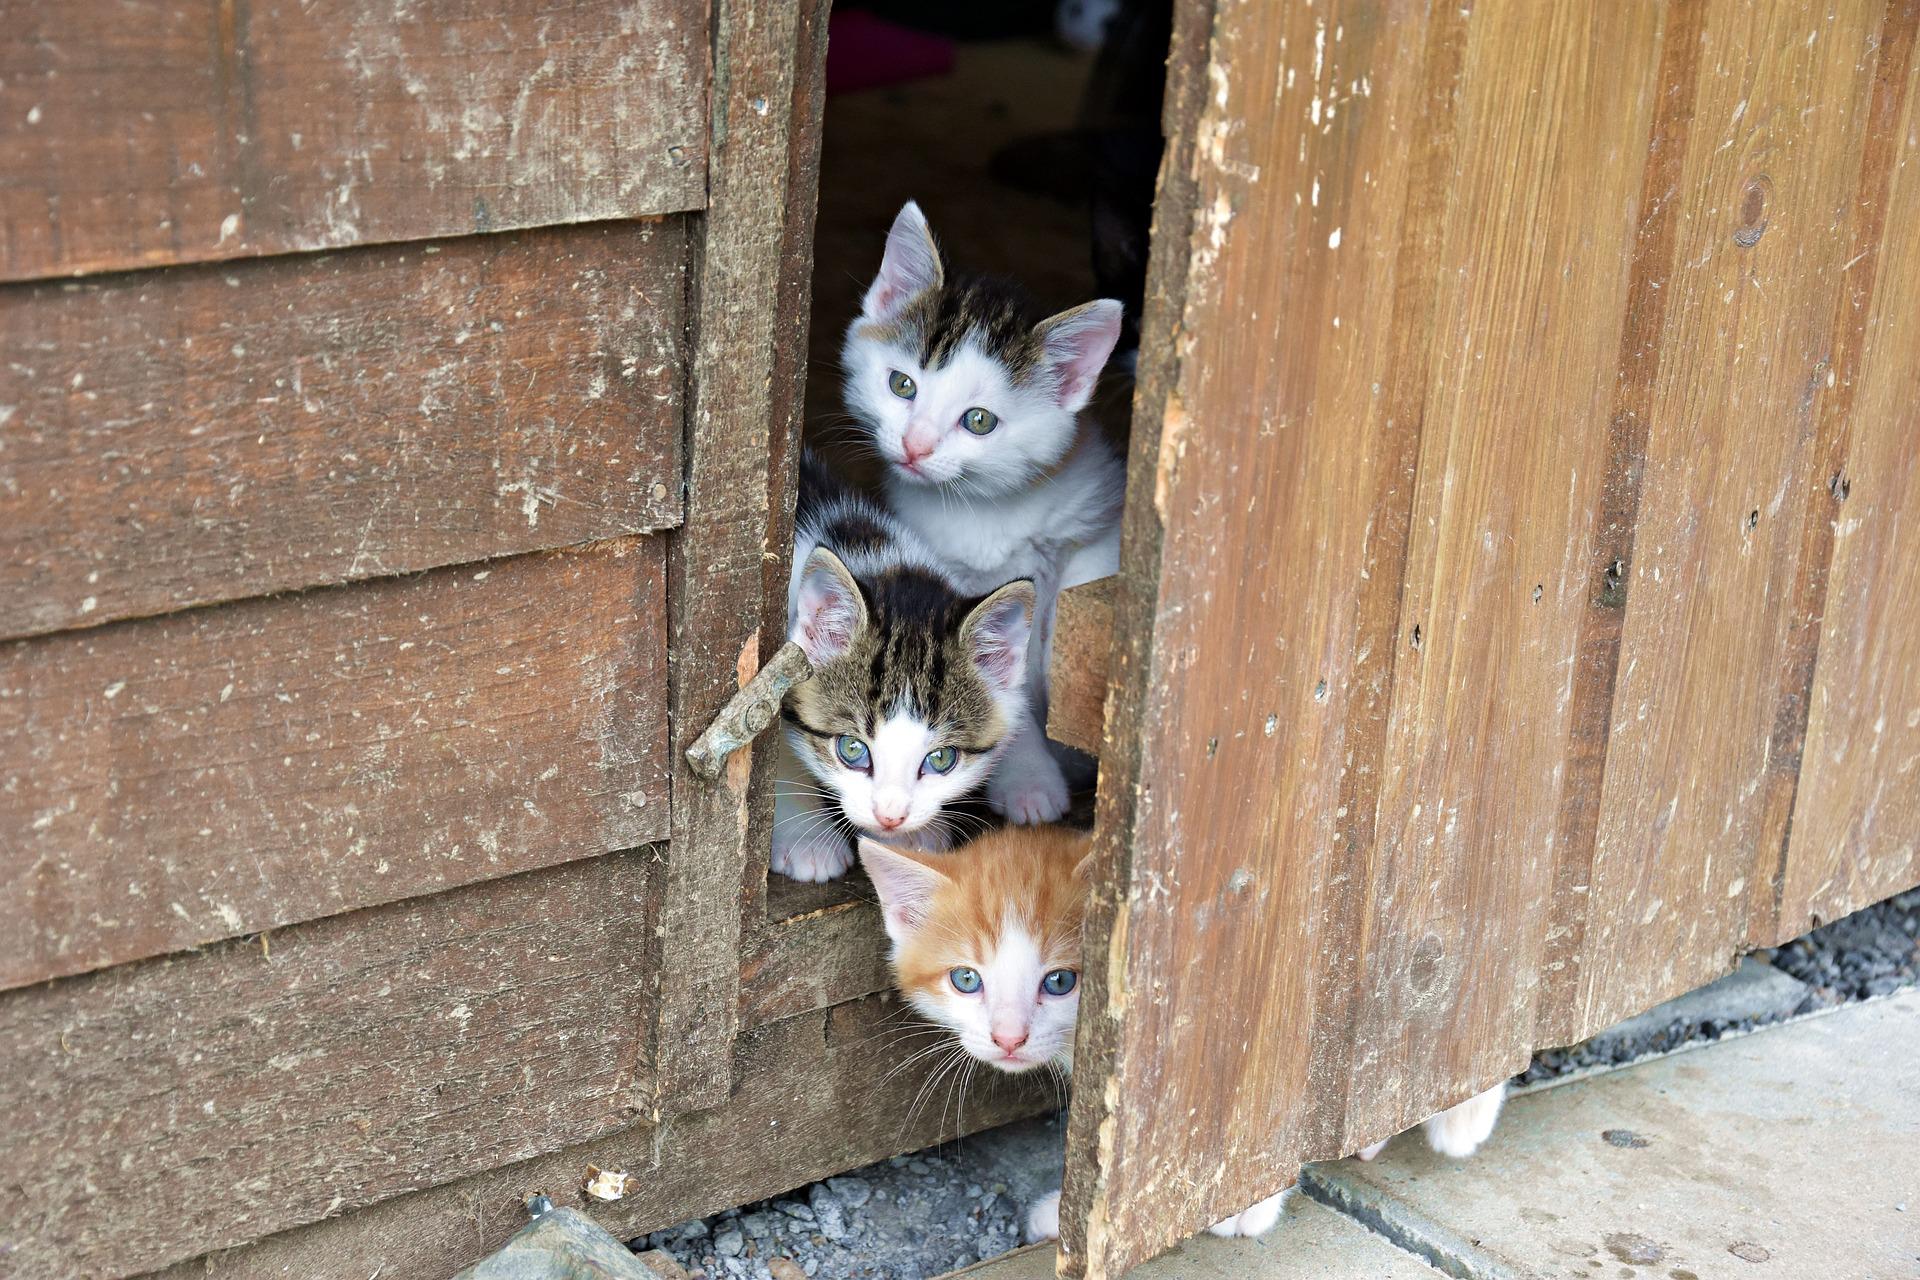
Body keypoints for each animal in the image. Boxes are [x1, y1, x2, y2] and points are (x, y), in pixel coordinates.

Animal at [840, 200, 1121, 821]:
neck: (987, 507)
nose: (915, 446)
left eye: (979, 421)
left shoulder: (1093, 526)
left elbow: (1075, 616)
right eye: (901, 385)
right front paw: (1030, 781)